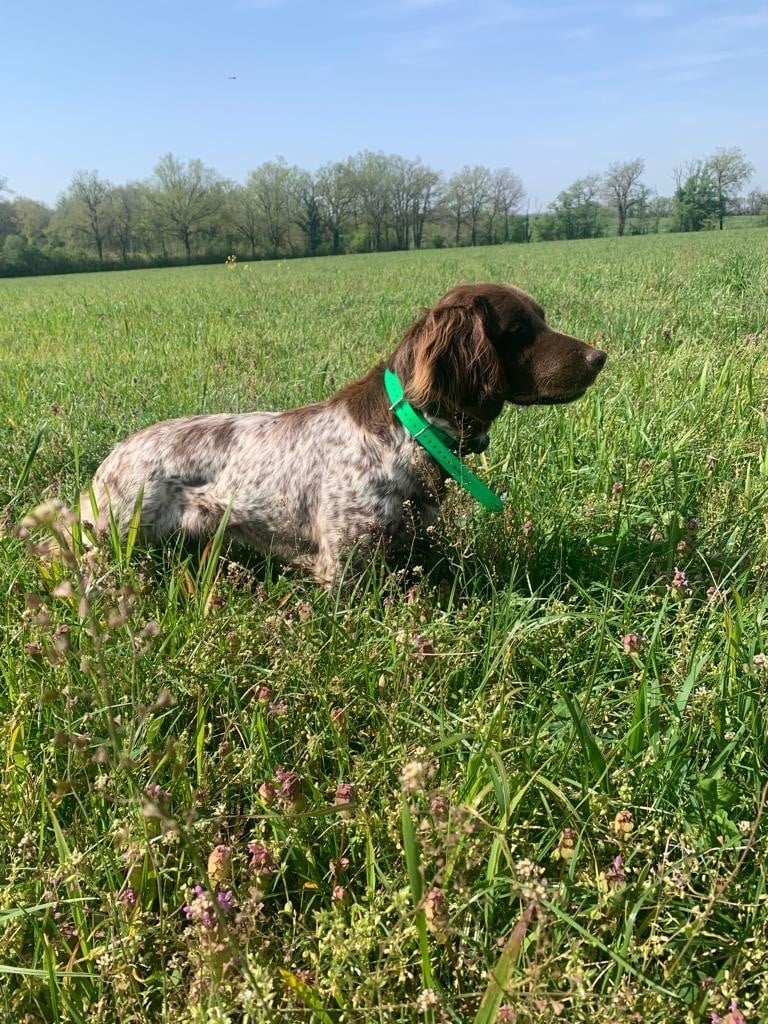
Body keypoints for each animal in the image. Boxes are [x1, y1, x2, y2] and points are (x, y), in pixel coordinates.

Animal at [78, 284, 606, 581]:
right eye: (520, 328)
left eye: (542, 317)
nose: (600, 356)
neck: (409, 430)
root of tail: (107, 465)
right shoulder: (345, 567)